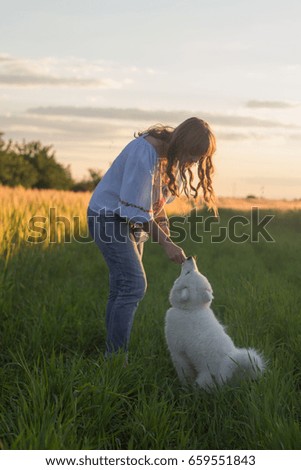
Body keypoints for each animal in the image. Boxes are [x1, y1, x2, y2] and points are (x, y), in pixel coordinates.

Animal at [164, 258, 264, 390]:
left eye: (187, 273)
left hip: (204, 381)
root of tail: (226, 369)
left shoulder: (178, 352)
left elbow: (184, 373)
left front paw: (184, 386)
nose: (190, 257)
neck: (192, 309)